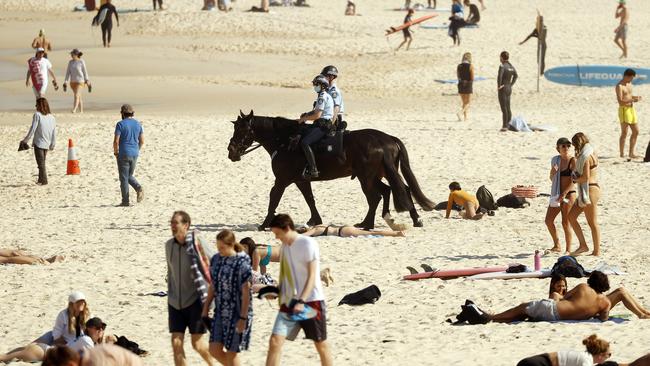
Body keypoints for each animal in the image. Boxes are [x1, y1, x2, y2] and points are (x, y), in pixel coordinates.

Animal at [225, 110, 432, 230]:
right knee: (396, 190)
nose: (231, 152)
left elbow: (273, 200)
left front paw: (264, 224)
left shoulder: (282, 180)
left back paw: (367, 224)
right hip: (378, 175)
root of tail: (387, 138)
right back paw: (409, 219)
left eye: (242, 130)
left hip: (367, 178)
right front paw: (315, 221)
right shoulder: (301, 180)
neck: (284, 141)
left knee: (376, 197)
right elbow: (310, 199)